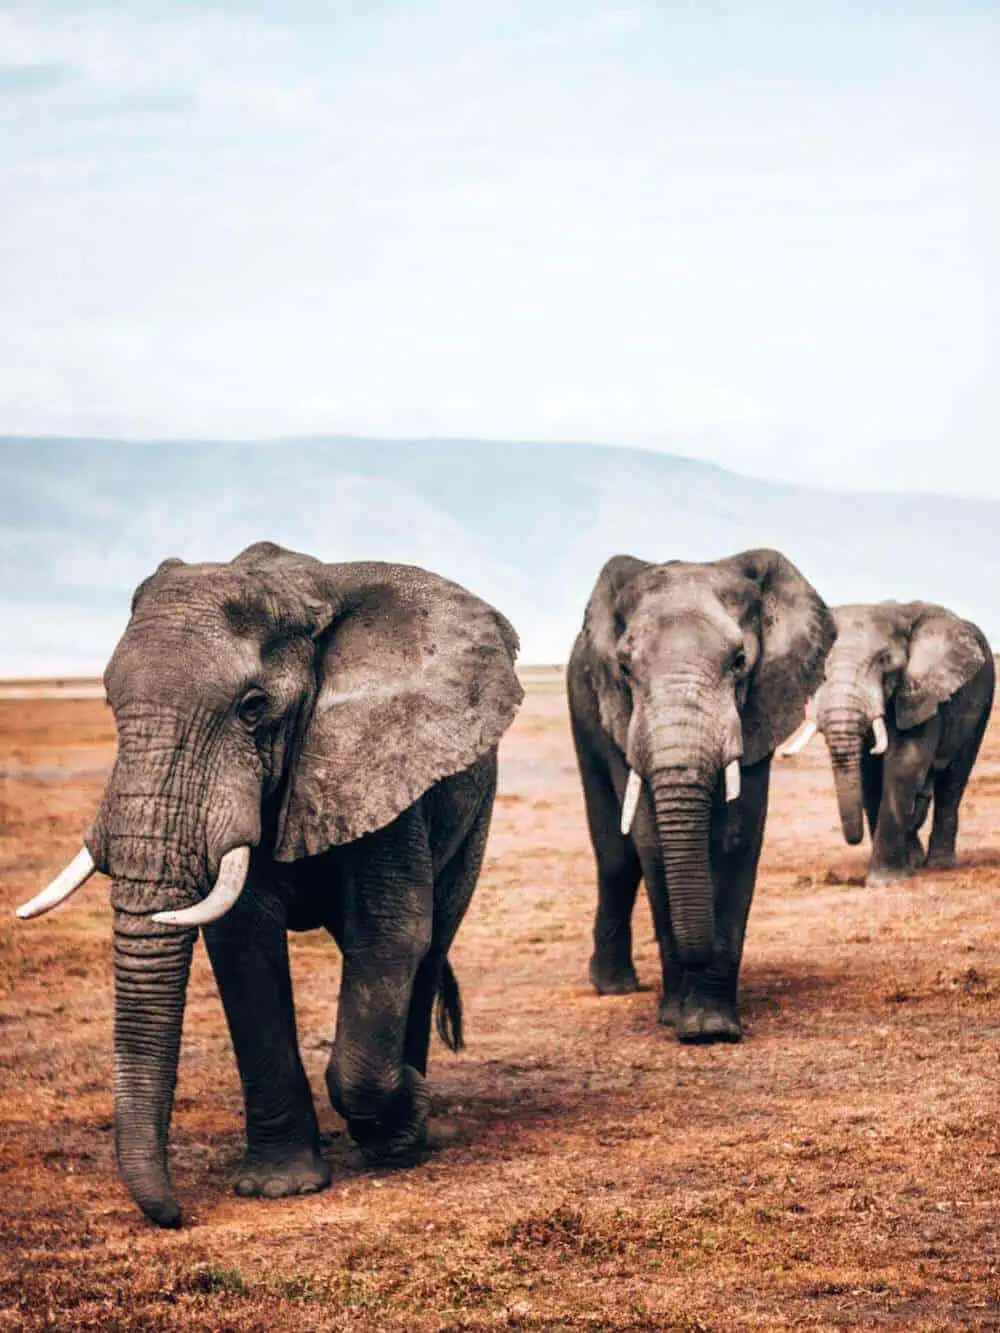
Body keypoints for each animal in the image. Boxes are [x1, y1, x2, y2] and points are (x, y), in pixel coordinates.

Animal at [16, 541, 523, 1228]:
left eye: (253, 708)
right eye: (109, 703)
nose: (176, 1213)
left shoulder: (378, 758)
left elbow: (391, 934)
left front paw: (406, 1115)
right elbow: (243, 946)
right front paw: (279, 1187)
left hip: (477, 809)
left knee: (432, 940)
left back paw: (407, 1130)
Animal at [568, 548, 836, 1043]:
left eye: (739, 661)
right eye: (625, 668)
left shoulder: (760, 707)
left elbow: (737, 837)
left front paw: (712, 1028)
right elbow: (651, 843)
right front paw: (679, 1020)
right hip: (581, 705)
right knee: (616, 856)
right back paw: (613, 988)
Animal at [793, 601, 994, 884]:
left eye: (884, 661)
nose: (854, 839)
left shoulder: (921, 692)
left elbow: (904, 762)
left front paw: (883, 882)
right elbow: (869, 775)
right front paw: (902, 869)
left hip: (983, 699)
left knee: (954, 779)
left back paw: (939, 865)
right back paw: (917, 861)